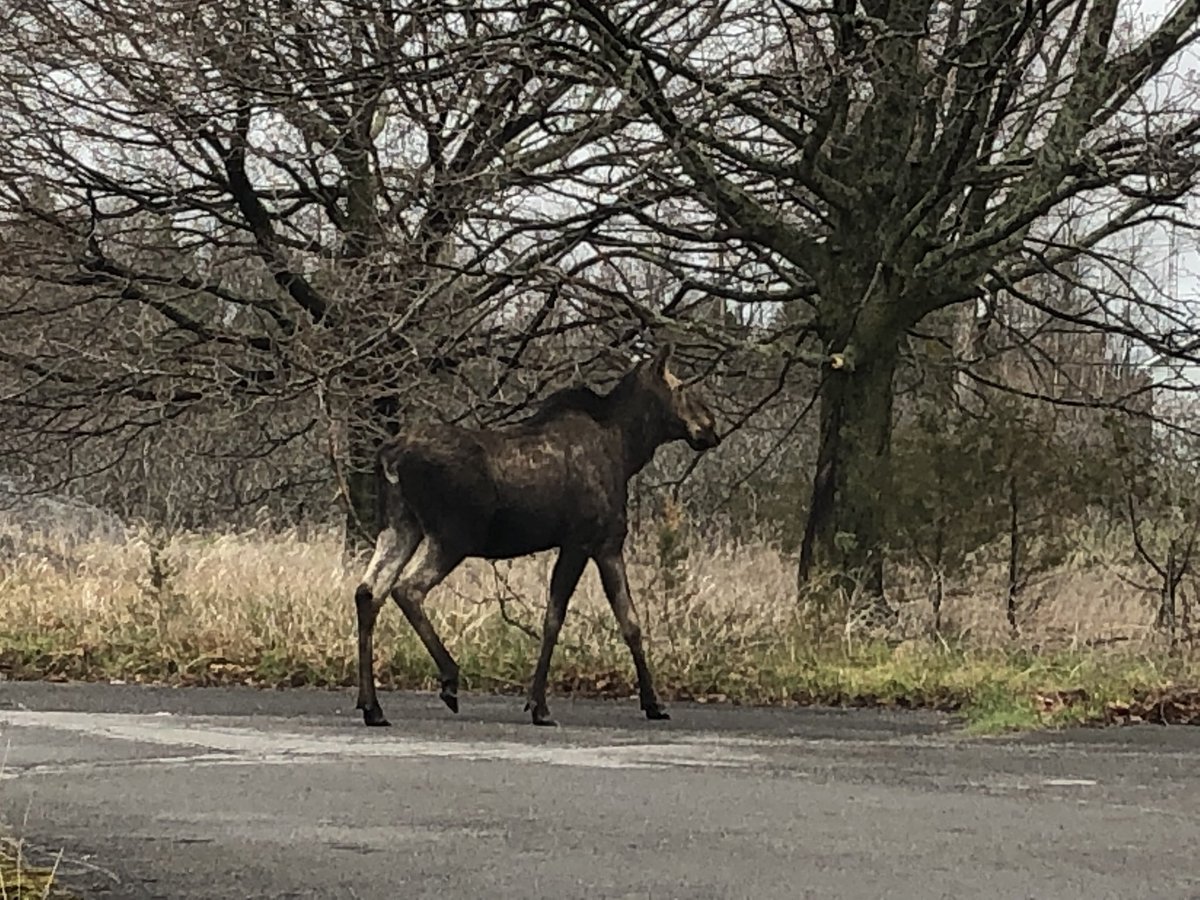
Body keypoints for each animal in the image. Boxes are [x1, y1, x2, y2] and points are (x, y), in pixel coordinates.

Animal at [352, 344, 721, 727]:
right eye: (681, 387)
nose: (711, 428)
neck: (627, 450)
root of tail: (389, 455)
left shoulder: (608, 545)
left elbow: (631, 622)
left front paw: (653, 703)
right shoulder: (578, 542)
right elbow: (553, 620)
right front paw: (539, 705)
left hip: (400, 526)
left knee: (368, 592)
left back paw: (372, 706)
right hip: (452, 535)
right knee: (407, 589)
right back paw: (449, 679)